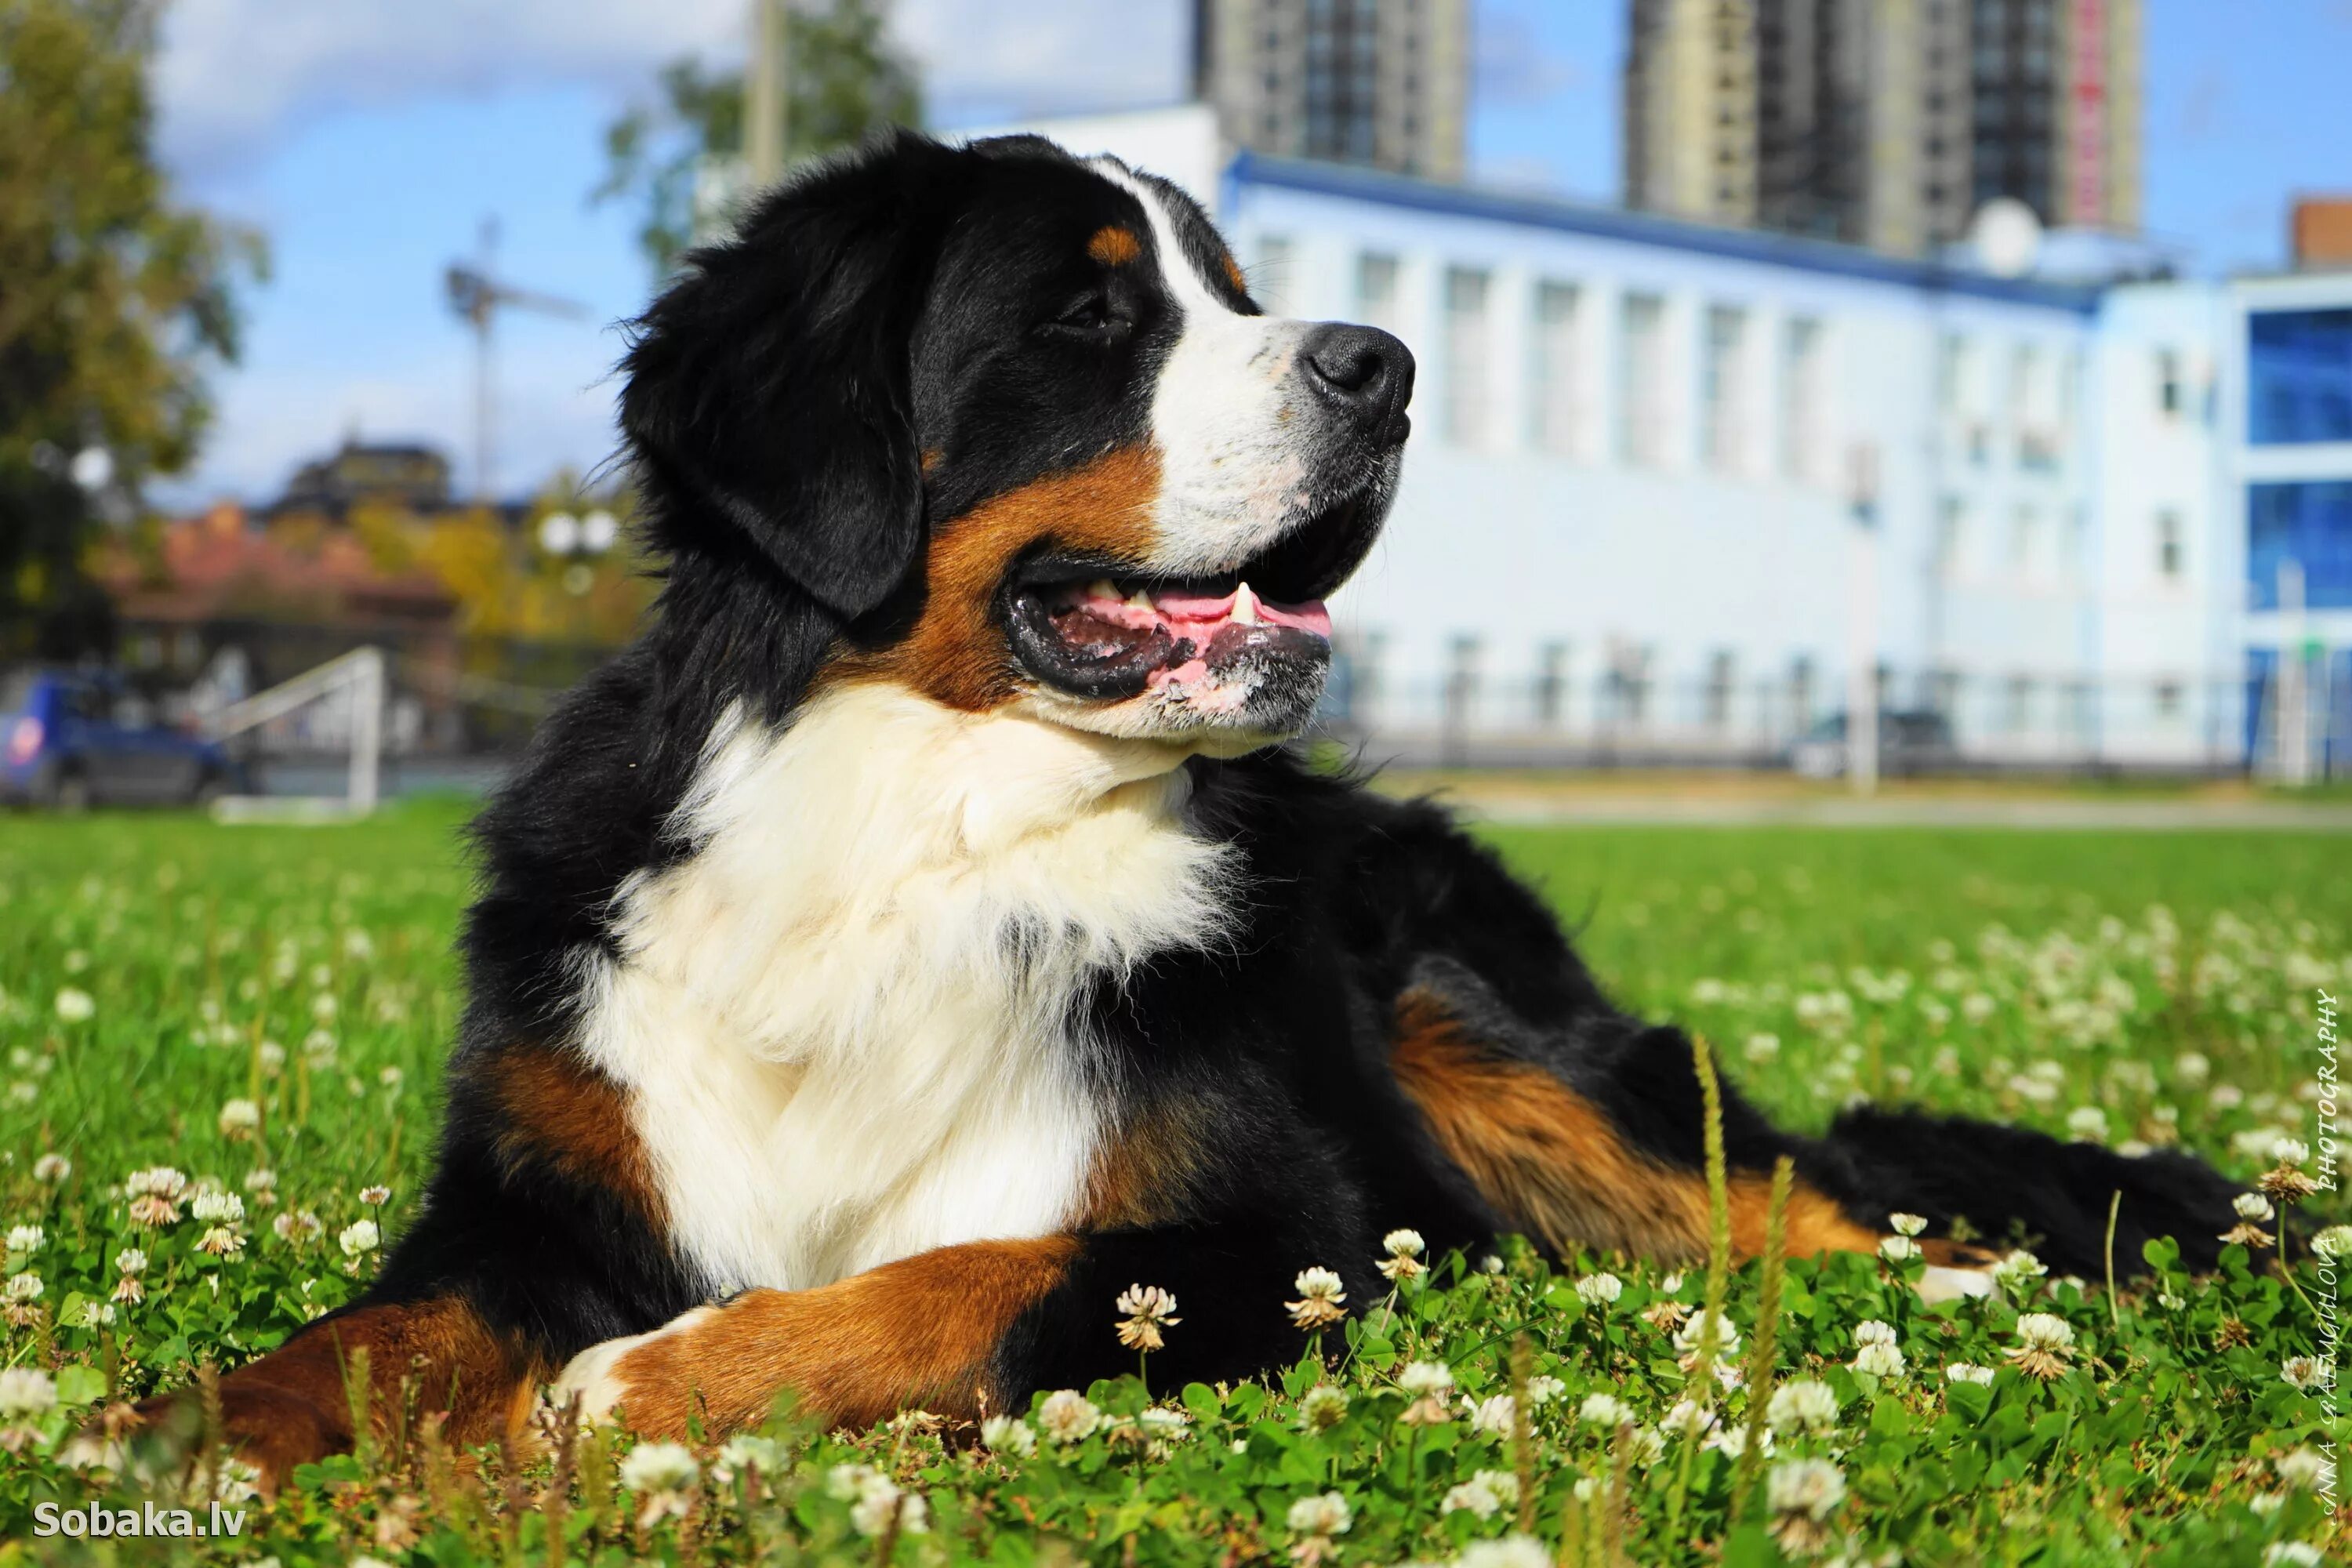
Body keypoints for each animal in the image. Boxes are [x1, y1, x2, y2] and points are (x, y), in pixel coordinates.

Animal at [142, 131, 2239, 1486]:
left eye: (1235, 293)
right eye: (1087, 323)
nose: (1387, 366)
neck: (920, 814)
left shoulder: (1288, 1231)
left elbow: (971, 1276)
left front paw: (656, 1379)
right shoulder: (540, 1184)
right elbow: (371, 1336)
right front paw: (180, 1434)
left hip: (1498, 1042)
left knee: (1805, 1215)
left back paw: (2002, 1281)